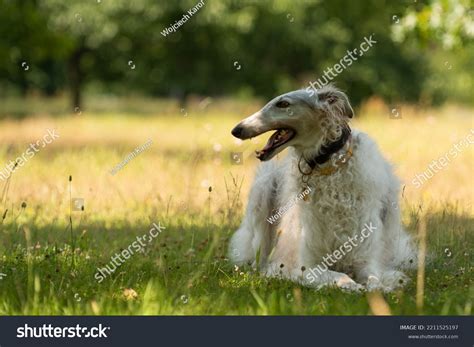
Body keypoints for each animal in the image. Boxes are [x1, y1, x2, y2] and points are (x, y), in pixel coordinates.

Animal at [229, 85, 414, 292]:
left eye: (283, 103)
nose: (236, 130)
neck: (328, 165)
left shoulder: (365, 257)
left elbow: (374, 280)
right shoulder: (306, 266)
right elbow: (342, 277)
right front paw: (353, 286)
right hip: (263, 190)